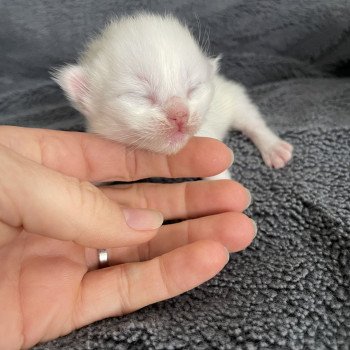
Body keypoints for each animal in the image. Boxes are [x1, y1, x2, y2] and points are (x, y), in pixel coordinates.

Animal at [53, 12, 292, 179]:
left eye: (193, 88)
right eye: (140, 96)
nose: (180, 115)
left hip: (233, 97)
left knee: (252, 121)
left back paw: (274, 148)